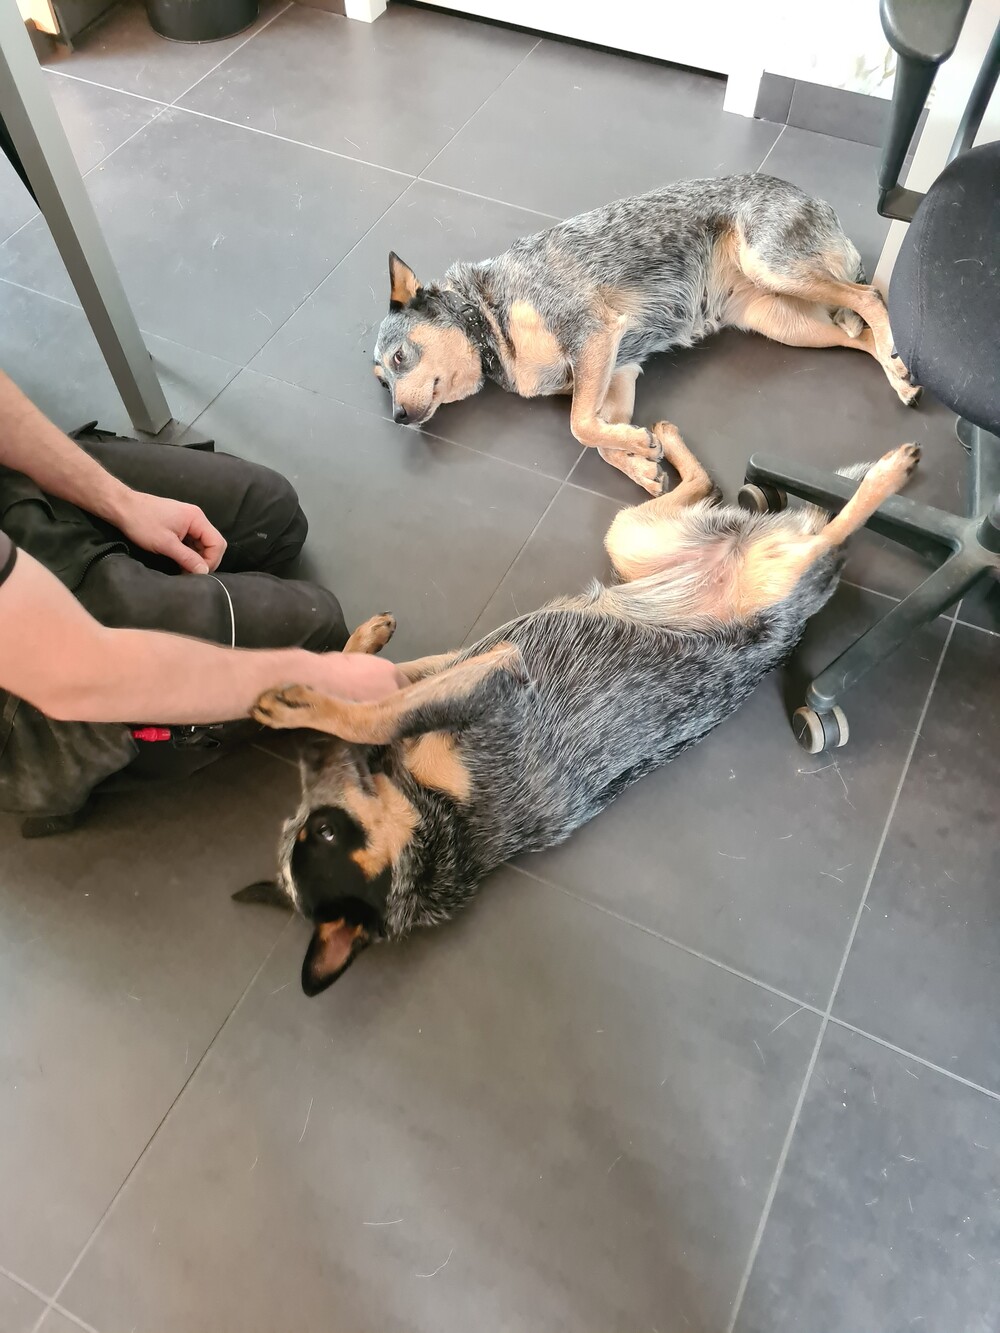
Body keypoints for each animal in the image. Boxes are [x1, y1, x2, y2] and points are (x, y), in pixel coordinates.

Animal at [235, 433, 921, 995]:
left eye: (322, 832)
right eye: (305, 824)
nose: (308, 760)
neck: (434, 822)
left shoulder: (481, 675)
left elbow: (370, 707)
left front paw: (304, 696)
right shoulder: (473, 673)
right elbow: (375, 701)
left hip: (675, 549)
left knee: (827, 530)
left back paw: (876, 475)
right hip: (646, 540)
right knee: (793, 523)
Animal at [372, 174, 919, 496]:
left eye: (398, 358)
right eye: (381, 383)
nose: (397, 418)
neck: (488, 318)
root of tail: (812, 197)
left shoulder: (593, 335)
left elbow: (578, 426)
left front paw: (638, 445)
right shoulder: (616, 374)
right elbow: (597, 436)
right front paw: (642, 461)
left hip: (775, 268)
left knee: (870, 297)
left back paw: (895, 349)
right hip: (786, 324)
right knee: (858, 335)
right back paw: (899, 373)